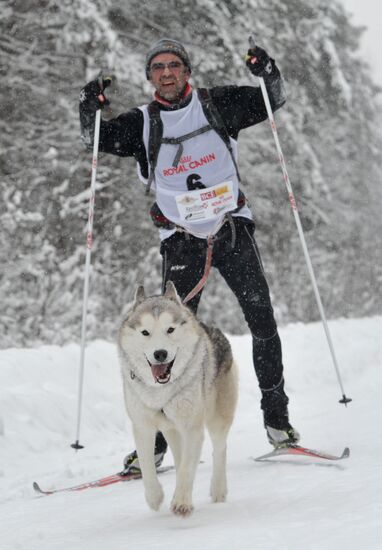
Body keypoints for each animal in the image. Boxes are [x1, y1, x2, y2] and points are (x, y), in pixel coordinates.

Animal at [118, 282, 237, 520]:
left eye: (170, 330)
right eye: (145, 332)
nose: (160, 354)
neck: (161, 391)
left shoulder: (192, 427)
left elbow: (186, 468)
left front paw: (182, 502)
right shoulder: (143, 427)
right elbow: (147, 466)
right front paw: (155, 498)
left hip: (217, 420)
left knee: (219, 449)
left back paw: (218, 490)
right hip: (171, 430)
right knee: (180, 455)